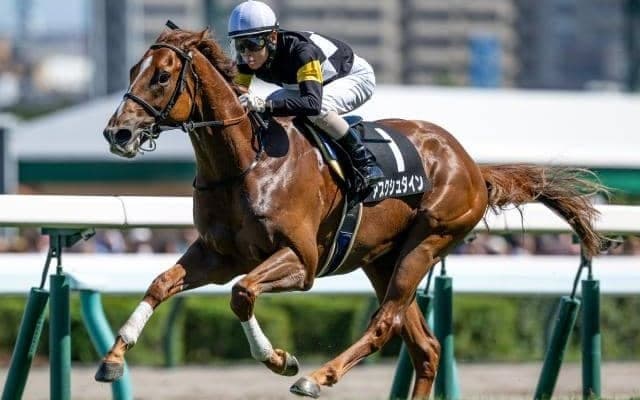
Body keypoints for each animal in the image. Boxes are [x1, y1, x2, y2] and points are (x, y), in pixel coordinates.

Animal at [97, 27, 604, 399]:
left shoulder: (300, 261)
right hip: (382, 259)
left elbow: (242, 294)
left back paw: (316, 377)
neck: (247, 162)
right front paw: (114, 358)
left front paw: (281, 360)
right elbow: (161, 283)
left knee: (386, 325)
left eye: (162, 77)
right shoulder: (218, 255)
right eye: (133, 69)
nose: (117, 133)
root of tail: (471, 166)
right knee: (425, 347)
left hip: (428, 241)